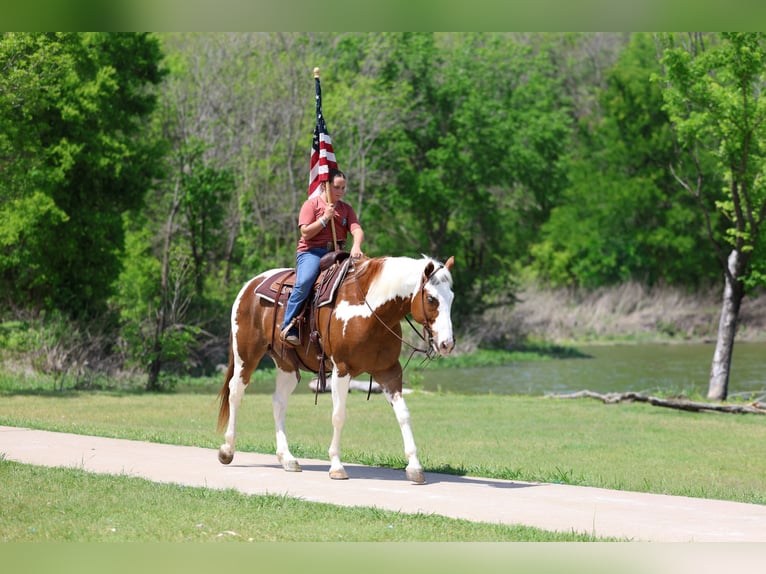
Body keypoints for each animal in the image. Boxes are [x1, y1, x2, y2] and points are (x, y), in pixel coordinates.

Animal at [216, 254, 456, 483]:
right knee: (236, 393)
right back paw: (227, 450)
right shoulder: (342, 369)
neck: (370, 310)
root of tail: (250, 285)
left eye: (451, 298)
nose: (447, 344)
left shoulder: (389, 371)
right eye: (431, 298)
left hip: (287, 366)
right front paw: (337, 467)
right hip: (246, 356)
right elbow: (339, 415)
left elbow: (403, 414)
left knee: (279, 402)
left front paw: (414, 467)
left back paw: (287, 458)